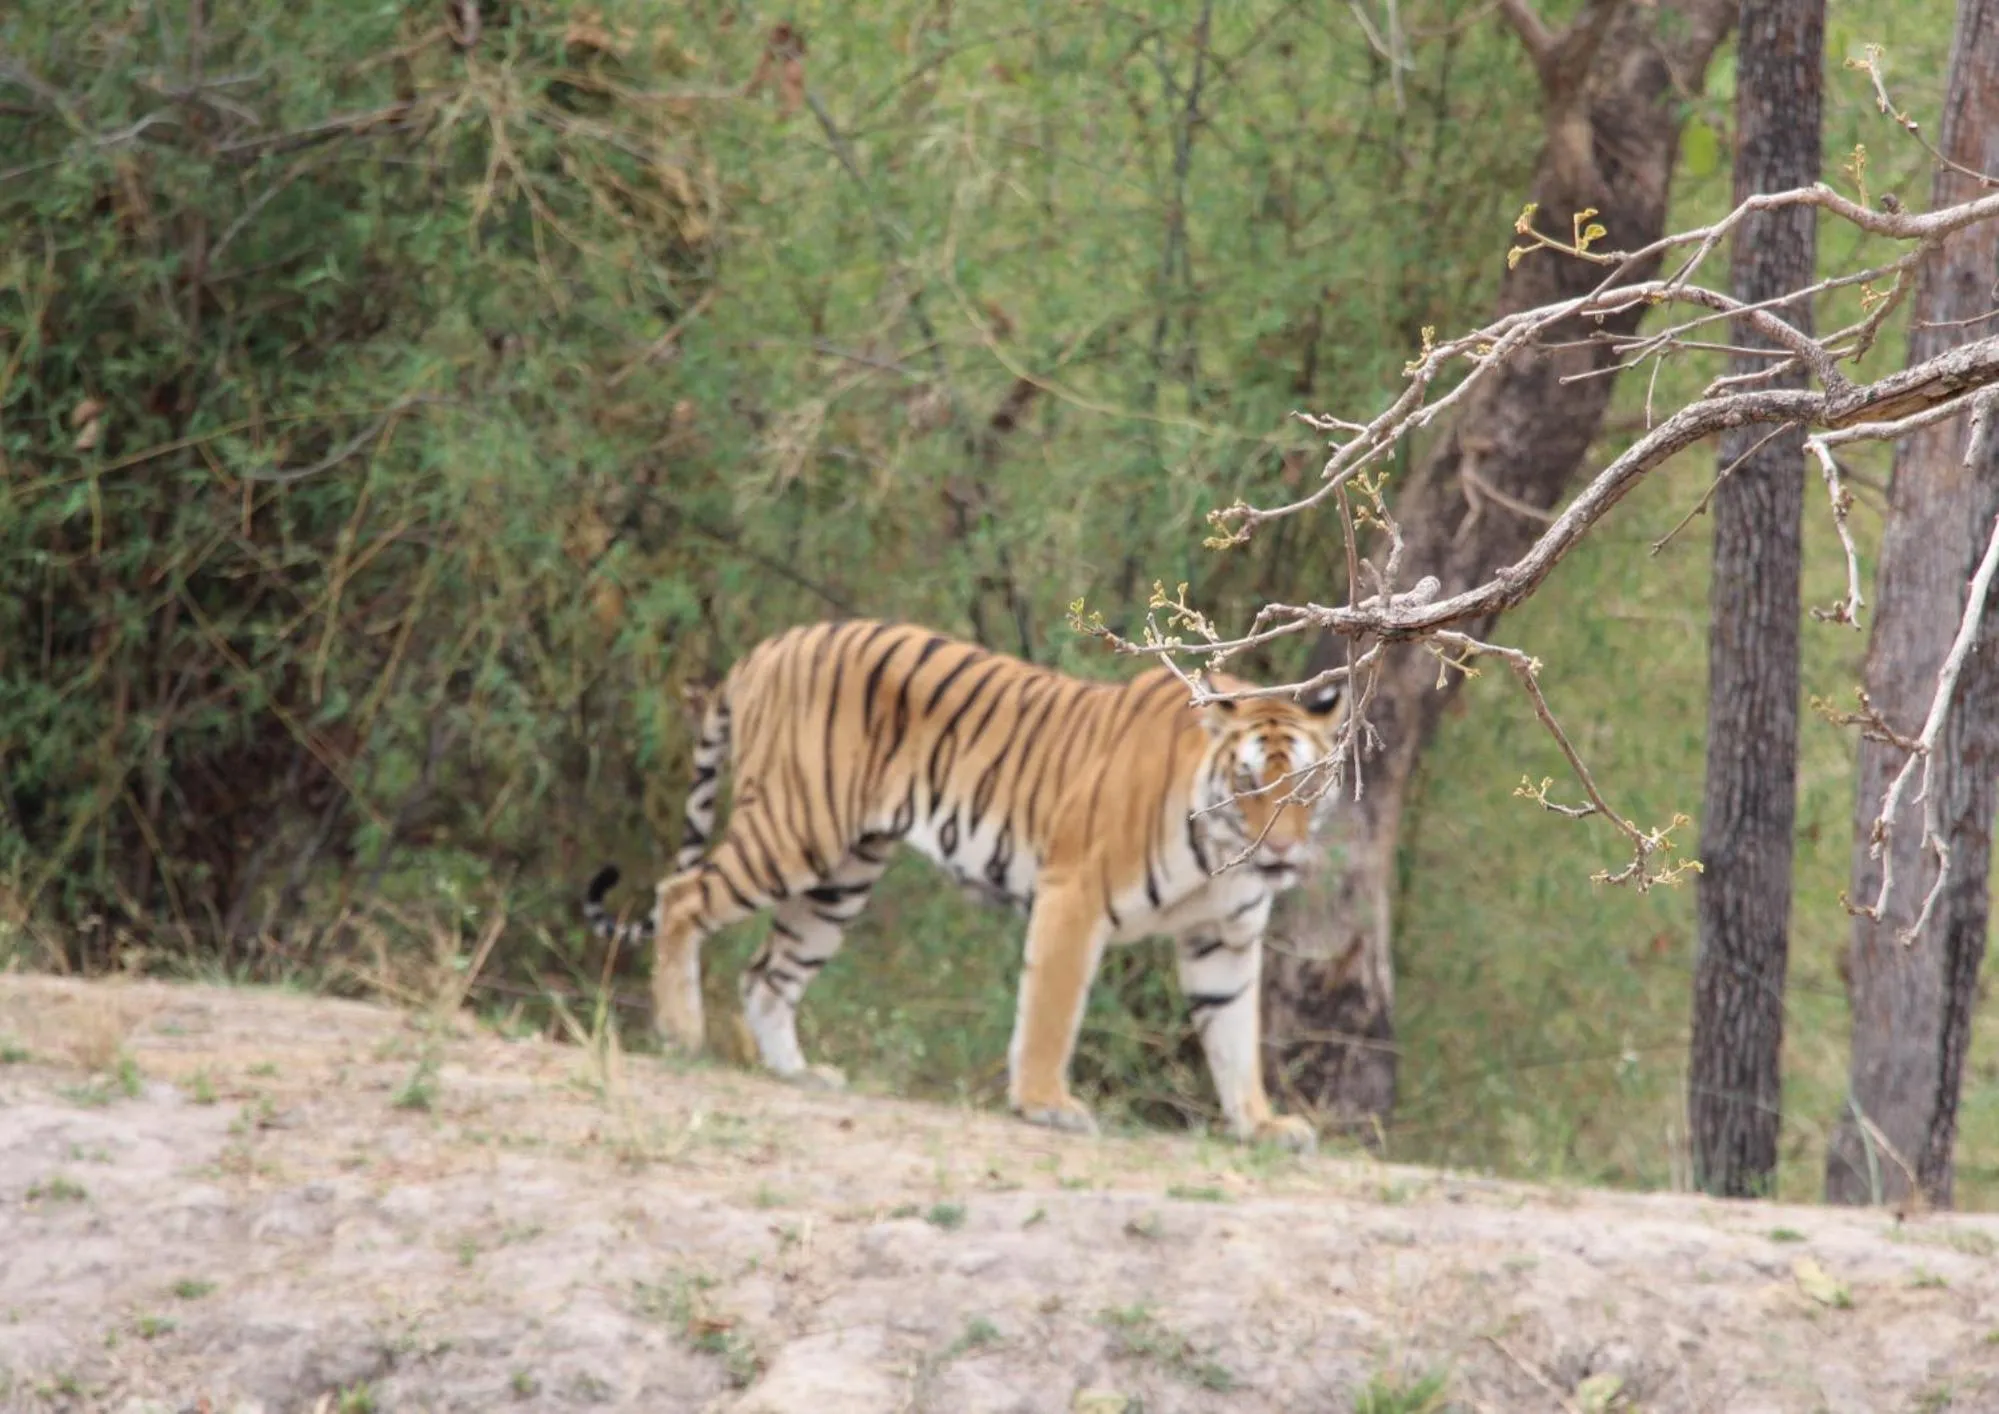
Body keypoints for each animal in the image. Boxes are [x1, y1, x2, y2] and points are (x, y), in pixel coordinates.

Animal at [583, 618, 1345, 1149]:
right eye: (1250, 782)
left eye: (1306, 786)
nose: (1282, 853)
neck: (1220, 854)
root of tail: (766, 649)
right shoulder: (1073, 896)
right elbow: (1050, 1012)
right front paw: (1045, 1104)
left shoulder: (1223, 939)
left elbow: (1235, 1036)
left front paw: (1261, 1124)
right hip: (792, 831)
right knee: (680, 897)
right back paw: (682, 1032)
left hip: (841, 879)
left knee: (767, 973)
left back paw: (795, 1071)